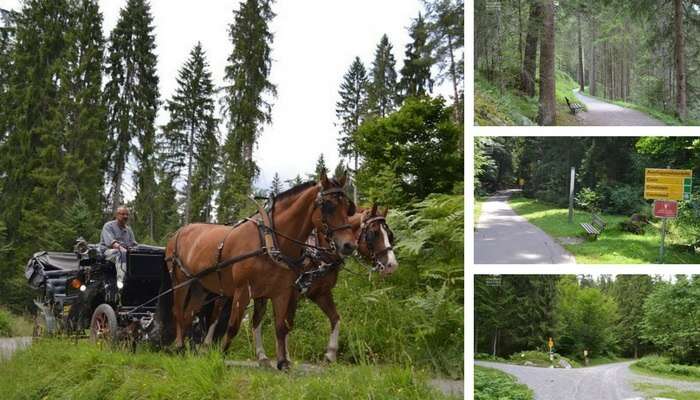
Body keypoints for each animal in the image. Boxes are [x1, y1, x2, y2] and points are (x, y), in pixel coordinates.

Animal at [164, 172, 356, 368]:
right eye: (329, 205)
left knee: (189, 313)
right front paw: (222, 356)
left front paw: (283, 361)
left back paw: (188, 349)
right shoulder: (244, 290)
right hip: (181, 281)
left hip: (200, 286)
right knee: (179, 311)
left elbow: (282, 326)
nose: (349, 245)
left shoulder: (284, 292)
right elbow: (233, 326)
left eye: (348, 207)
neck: (269, 241)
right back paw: (180, 346)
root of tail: (179, 231)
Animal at [249, 205, 396, 364]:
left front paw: (330, 354)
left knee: (256, 319)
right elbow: (287, 323)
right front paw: (285, 356)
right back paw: (262, 355)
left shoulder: (321, 293)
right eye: (373, 233)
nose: (392, 265)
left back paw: (261, 355)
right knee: (257, 318)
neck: (315, 250)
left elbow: (335, 318)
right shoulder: (292, 292)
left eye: (390, 235)